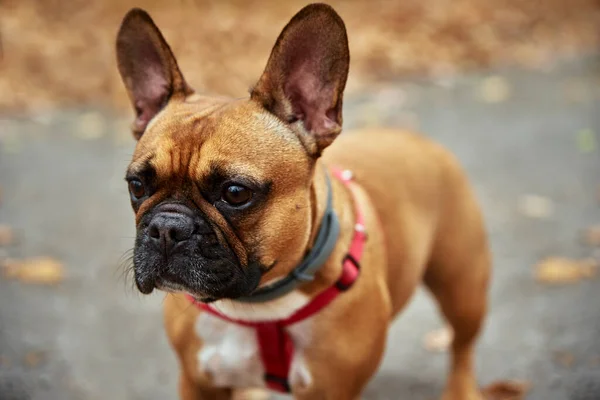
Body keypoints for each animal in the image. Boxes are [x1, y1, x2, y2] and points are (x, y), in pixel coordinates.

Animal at [116, 3, 492, 400]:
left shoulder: (332, 390)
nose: (166, 228)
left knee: (462, 344)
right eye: (137, 185)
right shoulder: (198, 382)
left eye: (235, 193)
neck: (259, 308)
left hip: (462, 286)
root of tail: (414, 138)